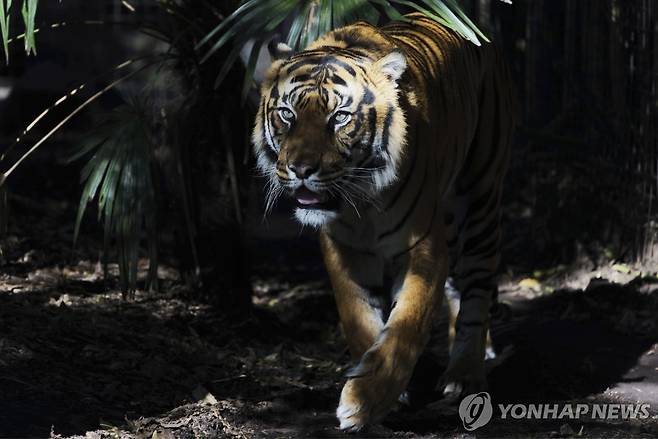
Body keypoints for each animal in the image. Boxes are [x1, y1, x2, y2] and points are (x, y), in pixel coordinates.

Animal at [251, 12, 512, 432]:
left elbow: (407, 323)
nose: (301, 169)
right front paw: (374, 384)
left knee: (477, 287)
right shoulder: (343, 248)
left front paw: (364, 401)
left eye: (339, 118)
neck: (361, 204)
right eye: (288, 114)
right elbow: (359, 318)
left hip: (481, 198)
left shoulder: (423, 246)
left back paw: (465, 374)